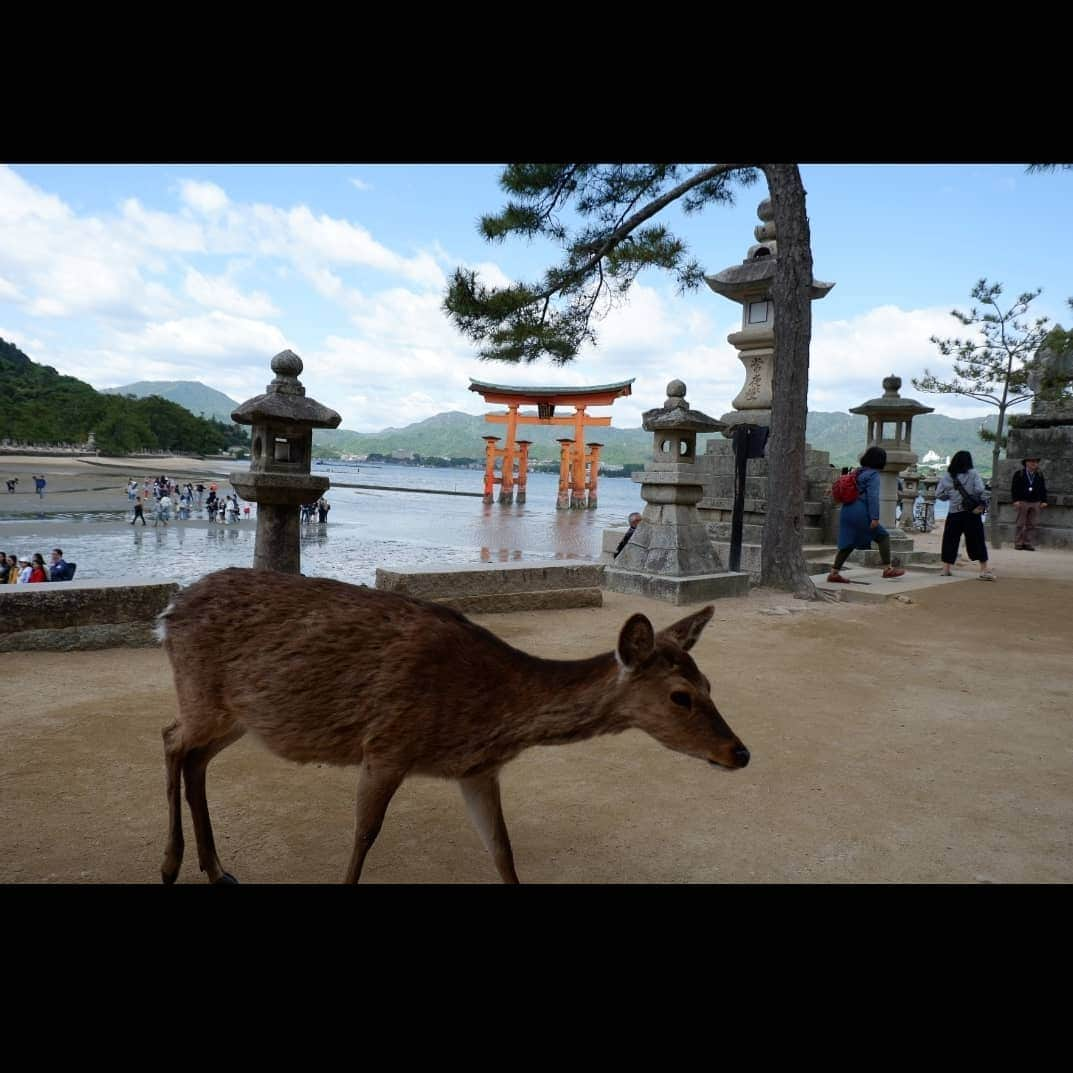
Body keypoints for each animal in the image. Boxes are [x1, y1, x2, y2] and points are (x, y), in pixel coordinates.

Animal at [156, 566, 746, 884]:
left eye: (711, 683)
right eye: (681, 696)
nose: (739, 753)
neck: (488, 717)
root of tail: (167, 612)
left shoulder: (477, 770)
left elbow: (502, 849)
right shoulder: (386, 745)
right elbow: (364, 836)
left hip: (241, 715)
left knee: (194, 757)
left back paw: (217, 869)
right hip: (203, 695)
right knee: (171, 740)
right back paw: (170, 865)